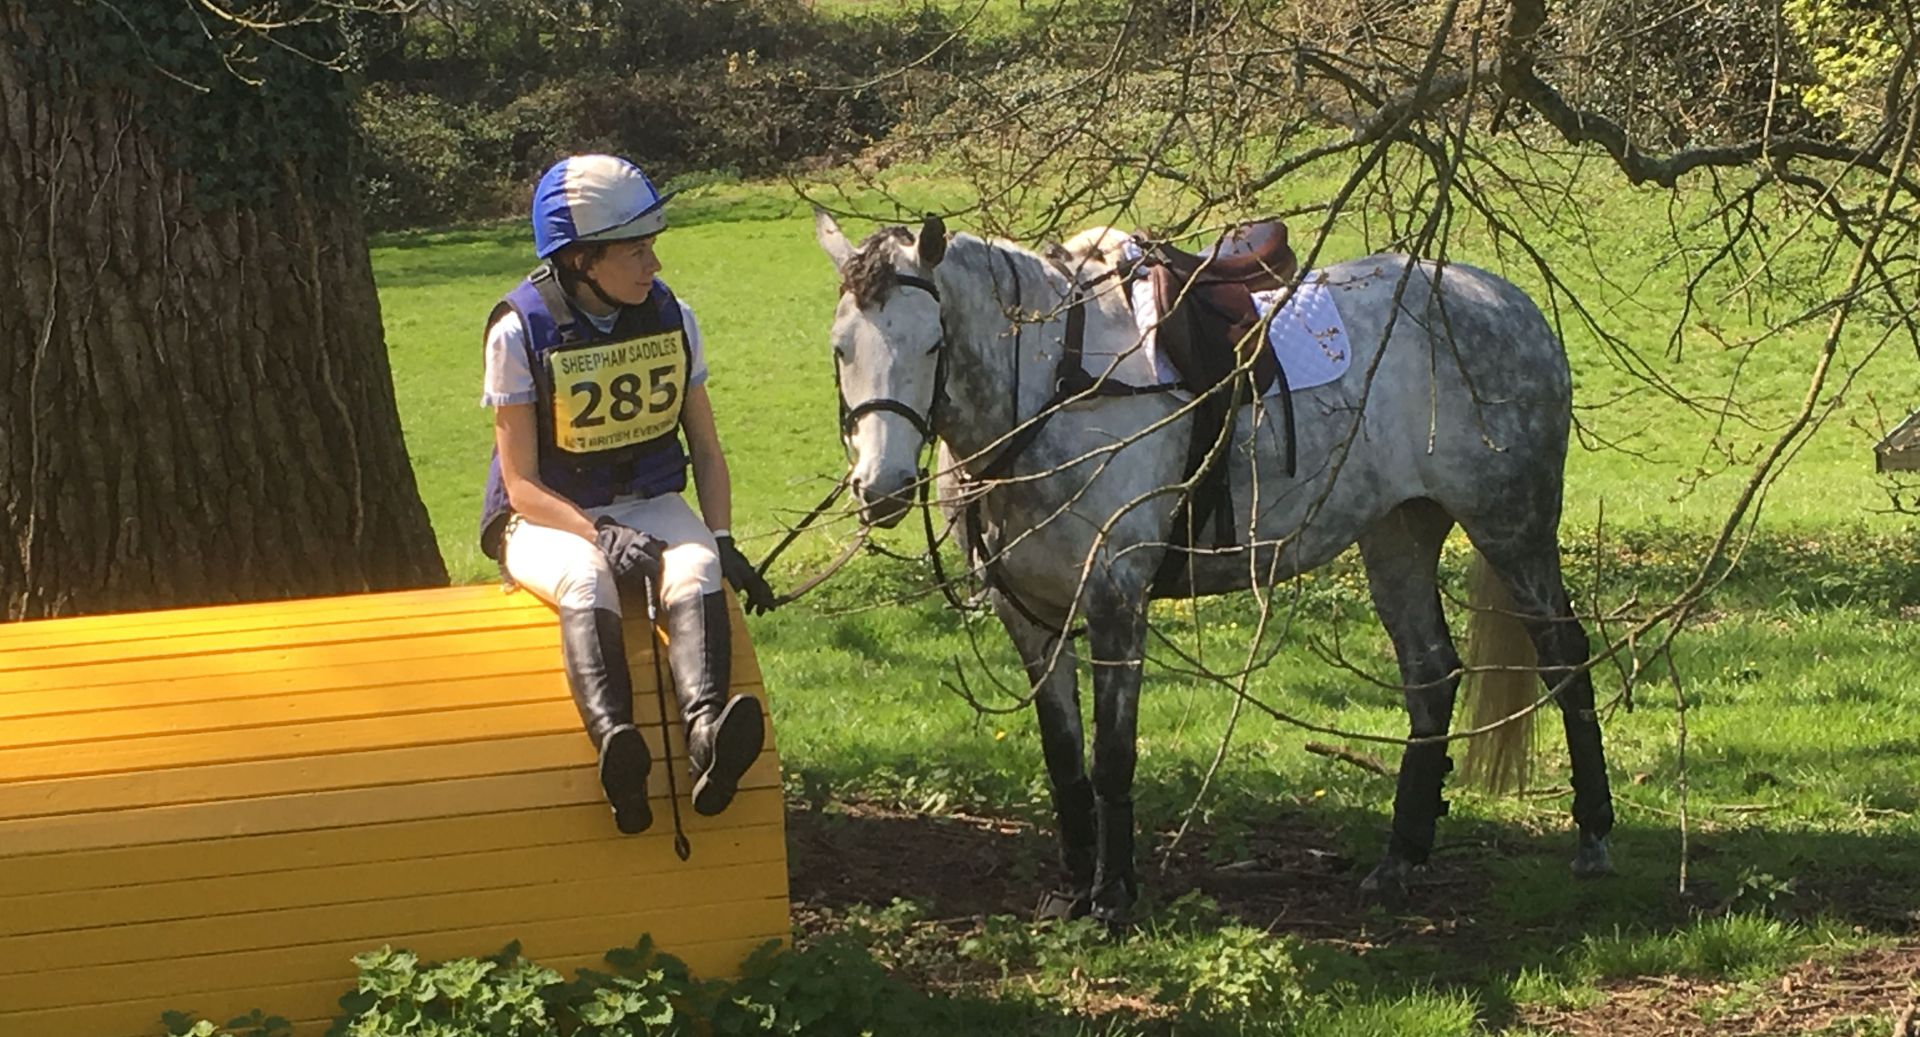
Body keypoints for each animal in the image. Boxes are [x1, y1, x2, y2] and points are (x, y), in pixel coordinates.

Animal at [814, 210, 1620, 921]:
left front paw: (1112, 898)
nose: (882, 489)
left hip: (1512, 529)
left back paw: (1593, 837)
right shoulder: (1032, 618)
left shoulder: (1114, 599)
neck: (1055, 390)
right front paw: (1073, 889)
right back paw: (1401, 859)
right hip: (1399, 533)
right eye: (841, 348)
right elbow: (1064, 759)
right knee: (1430, 674)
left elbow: (1111, 756)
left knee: (1565, 656)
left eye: (932, 344)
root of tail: (1508, 304)